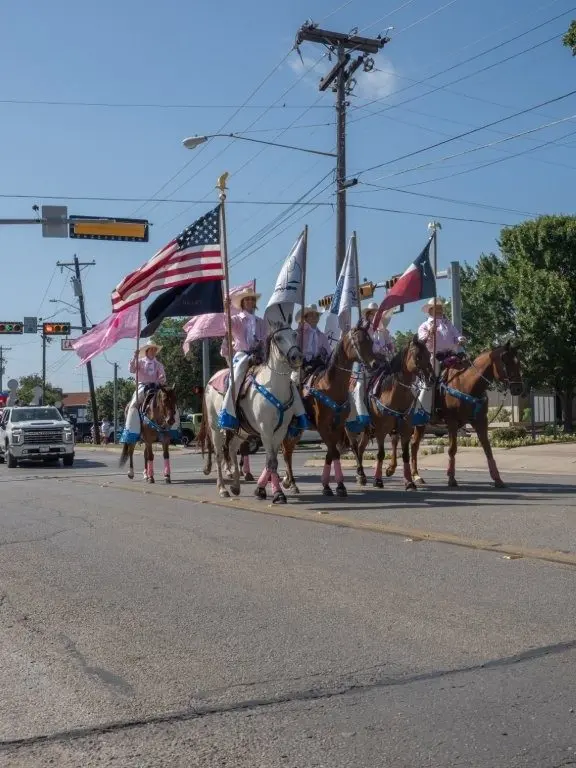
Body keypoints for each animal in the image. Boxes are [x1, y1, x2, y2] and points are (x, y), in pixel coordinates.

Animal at [198, 321, 303, 503]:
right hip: (215, 428)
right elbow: (272, 462)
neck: (275, 387)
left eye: (295, 334)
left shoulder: (280, 431)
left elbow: (271, 460)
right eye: (278, 337)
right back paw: (222, 488)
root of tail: (211, 380)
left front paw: (261, 489)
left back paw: (235, 486)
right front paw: (277, 493)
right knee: (219, 454)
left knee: (232, 449)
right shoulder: (265, 430)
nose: (296, 356)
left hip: (242, 432)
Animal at [281, 322, 378, 498]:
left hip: (297, 429)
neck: (331, 386)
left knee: (288, 451)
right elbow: (334, 452)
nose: (374, 364)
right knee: (286, 451)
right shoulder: (323, 427)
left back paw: (288, 481)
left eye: (371, 341)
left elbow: (330, 454)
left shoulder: (338, 427)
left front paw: (330, 485)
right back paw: (291, 483)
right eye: (359, 341)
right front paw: (337, 486)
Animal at [347, 335, 434, 491]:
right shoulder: (381, 430)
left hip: (367, 431)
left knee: (361, 448)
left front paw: (409, 482)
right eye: (418, 356)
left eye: (429, 355)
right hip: (351, 428)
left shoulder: (405, 429)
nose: (431, 378)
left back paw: (361, 476)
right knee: (355, 447)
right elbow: (381, 454)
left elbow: (405, 454)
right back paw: (361, 475)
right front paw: (378, 480)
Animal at [386, 341, 523, 488]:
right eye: (505, 361)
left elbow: (487, 449)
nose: (518, 388)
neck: (467, 384)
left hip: (419, 424)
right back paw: (392, 469)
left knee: (413, 444)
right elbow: (452, 449)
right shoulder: (452, 422)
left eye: (518, 362)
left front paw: (497, 479)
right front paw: (451, 478)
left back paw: (416, 476)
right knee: (395, 439)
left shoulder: (480, 421)